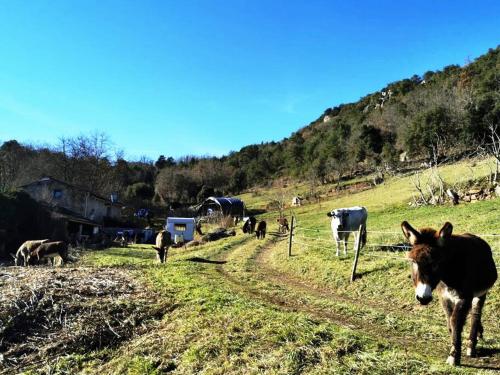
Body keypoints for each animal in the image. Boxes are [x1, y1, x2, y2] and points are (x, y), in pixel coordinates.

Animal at [400, 220, 498, 368]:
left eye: (436, 263)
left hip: (480, 293)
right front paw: (454, 347)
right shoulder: (444, 298)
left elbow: (455, 321)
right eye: (413, 262)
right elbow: (449, 323)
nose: (423, 298)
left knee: (476, 315)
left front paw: (453, 357)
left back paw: (471, 346)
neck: (449, 274)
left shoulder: (464, 297)